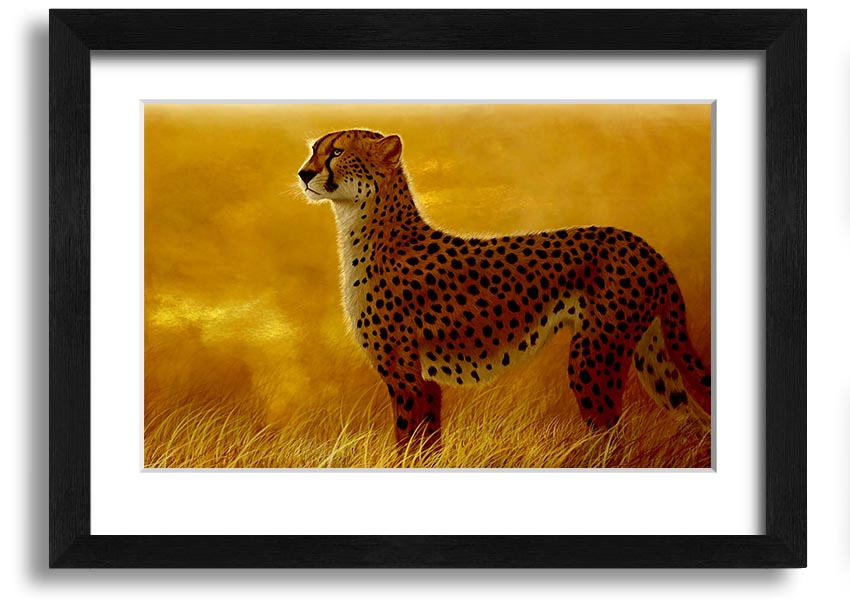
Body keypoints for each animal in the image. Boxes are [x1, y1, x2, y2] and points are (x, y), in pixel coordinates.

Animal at [298, 129, 711, 449]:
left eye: (337, 152)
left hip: (594, 356)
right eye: (314, 150)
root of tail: (639, 242)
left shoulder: (407, 377)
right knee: (694, 418)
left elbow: (409, 445)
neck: (363, 225)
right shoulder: (423, 380)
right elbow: (425, 446)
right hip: (649, 353)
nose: (303, 173)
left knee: (611, 435)